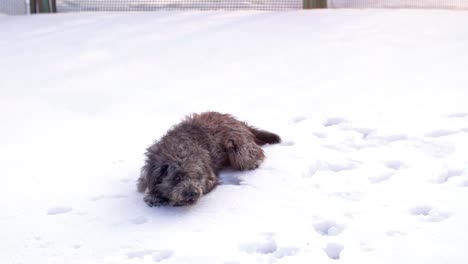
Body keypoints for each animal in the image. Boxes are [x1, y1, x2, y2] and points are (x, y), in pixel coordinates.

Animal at [137, 111, 280, 206]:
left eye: (196, 176)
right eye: (177, 178)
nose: (193, 193)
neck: (177, 150)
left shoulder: (210, 175)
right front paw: (153, 196)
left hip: (237, 147)